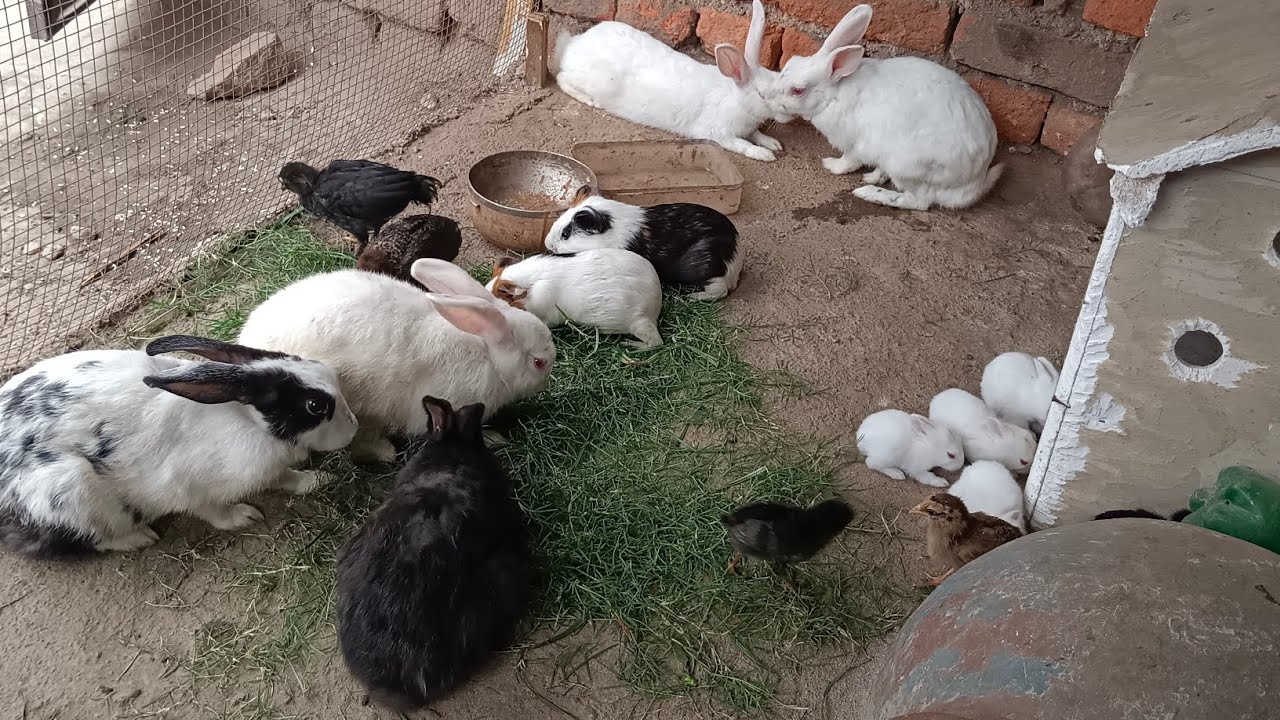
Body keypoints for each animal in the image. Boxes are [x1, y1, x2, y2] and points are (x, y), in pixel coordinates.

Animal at [0, 335, 358, 557]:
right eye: (314, 406)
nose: (354, 427)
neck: (248, 420)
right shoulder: (186, 487)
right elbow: (213, 512)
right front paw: (244, 517)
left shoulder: (273, 469)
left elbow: (286, 478)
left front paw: (316, 481)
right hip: (69, 492)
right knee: (92, 538)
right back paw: (139, 538)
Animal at [543, 185, 742, 300]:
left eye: (566, 234)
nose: (548, 245)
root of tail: (734, 261)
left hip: (708, 272)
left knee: (719, 291)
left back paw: (692, 297)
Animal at [551, 0, 791, 162]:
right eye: (762, 94)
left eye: (777, 79)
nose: (788, 113)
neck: (735, 98)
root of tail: (573, 44)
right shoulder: (716, 133)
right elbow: (742, 144)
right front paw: (764, 154)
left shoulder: (748, 127)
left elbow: (756, 134)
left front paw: (773, 144)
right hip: (592, 80)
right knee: (561, 77)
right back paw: (590, 101)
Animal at [770, 4, 1002, 210]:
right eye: (791, 61)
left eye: (797, 90)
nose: (769, 98)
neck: (833, 95)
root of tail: (973, 184)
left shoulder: (855, 146)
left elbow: (848, 162)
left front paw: (830, 165)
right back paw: (874, 177)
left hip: (906, 167)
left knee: (919, 202)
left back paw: (869, 193)